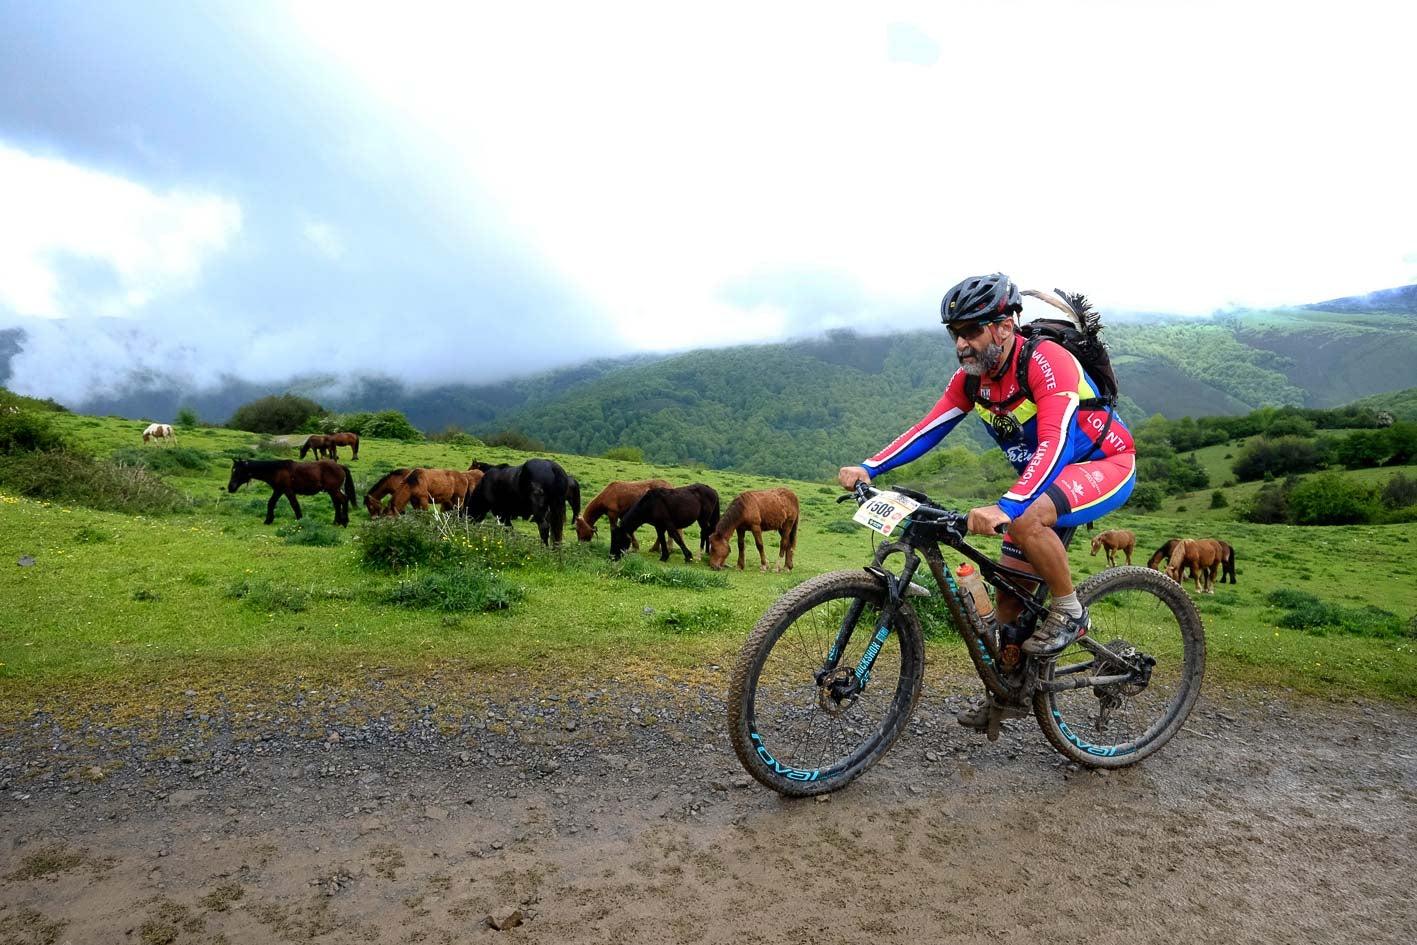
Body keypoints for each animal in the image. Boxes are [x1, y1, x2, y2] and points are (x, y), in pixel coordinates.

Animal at [228, 456, 357, 524]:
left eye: (238, 471)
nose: (230, 487)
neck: (276, 470)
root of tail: (340, 466)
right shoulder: (278, 491)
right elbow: (271, 503)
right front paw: (268, 520)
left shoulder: (288, 491)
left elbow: (295, 505)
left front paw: (300, 520)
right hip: (332, 491)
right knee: (337, 503)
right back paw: (336, 522)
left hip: (333, 490)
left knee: (344, 500)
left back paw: (344, 521)